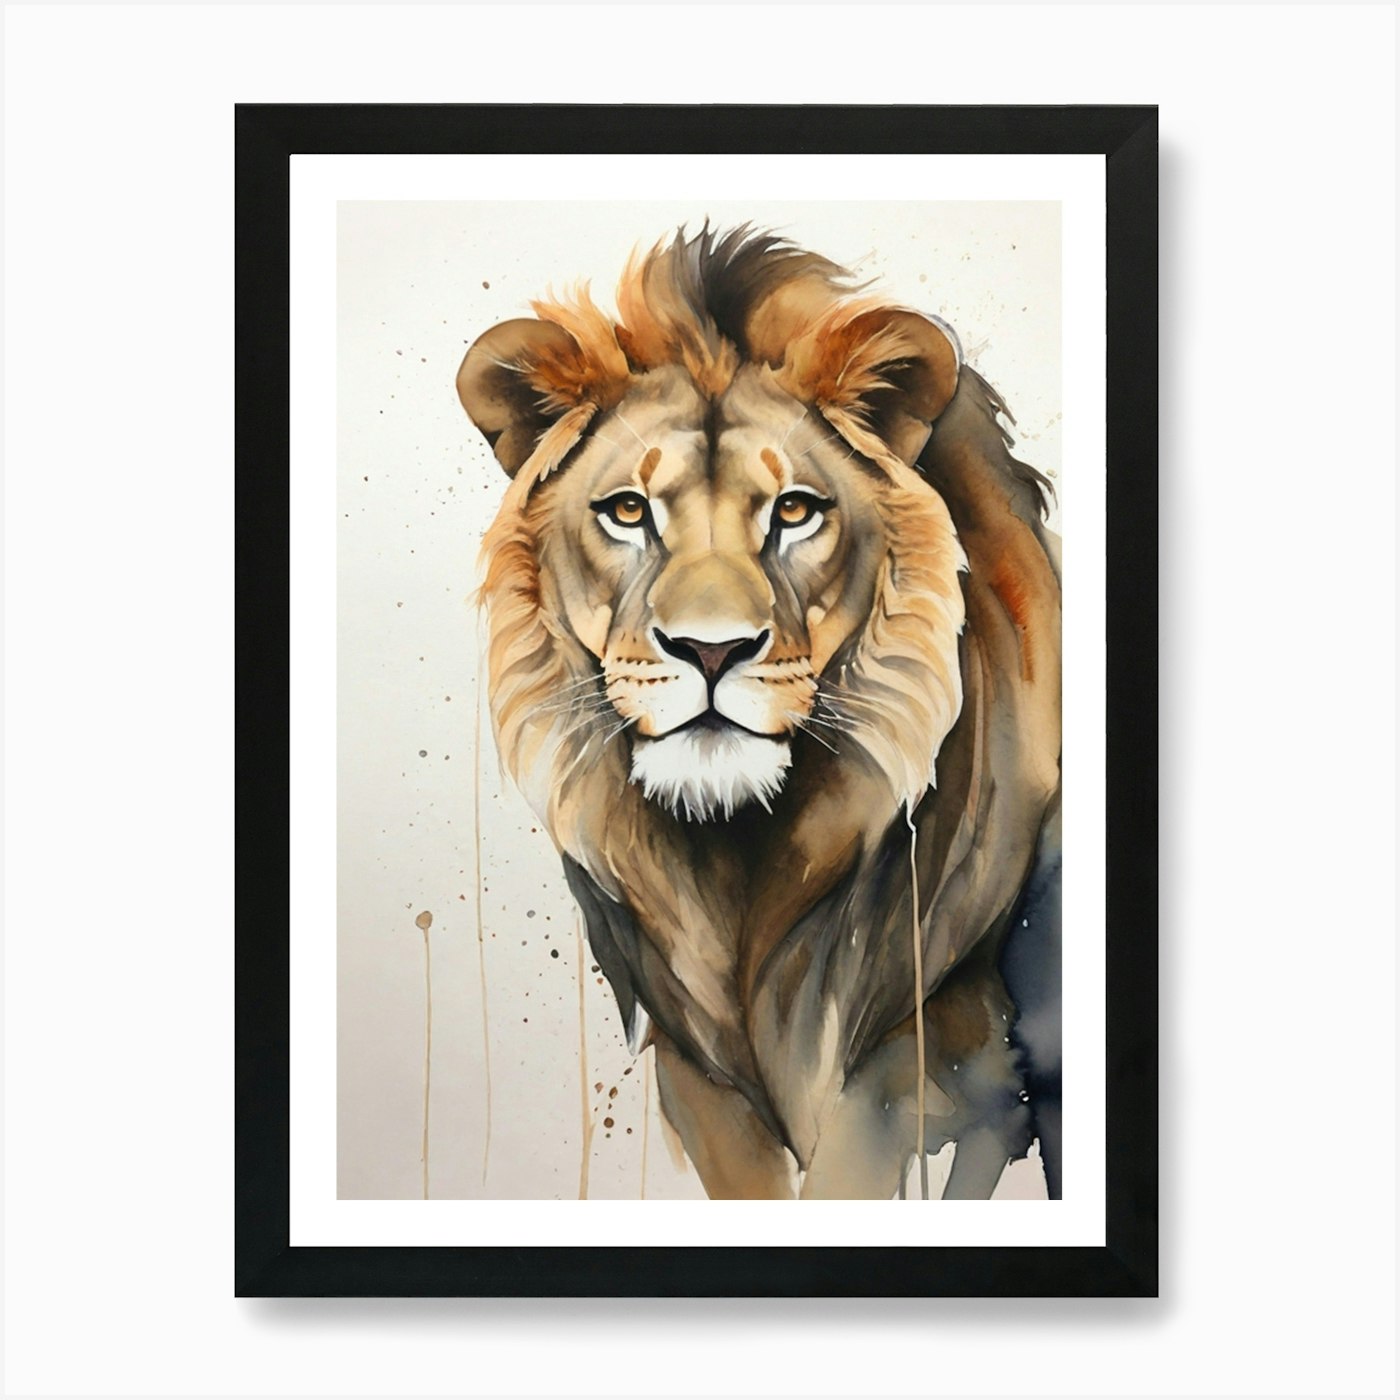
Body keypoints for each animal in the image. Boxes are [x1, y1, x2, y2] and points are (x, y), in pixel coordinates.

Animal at [457, 225, 1062, 1200]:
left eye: (796, 510)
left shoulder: (931, 1055)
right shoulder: (701, 1075)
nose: (712, 651)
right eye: (629, 510)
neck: (739, 867)